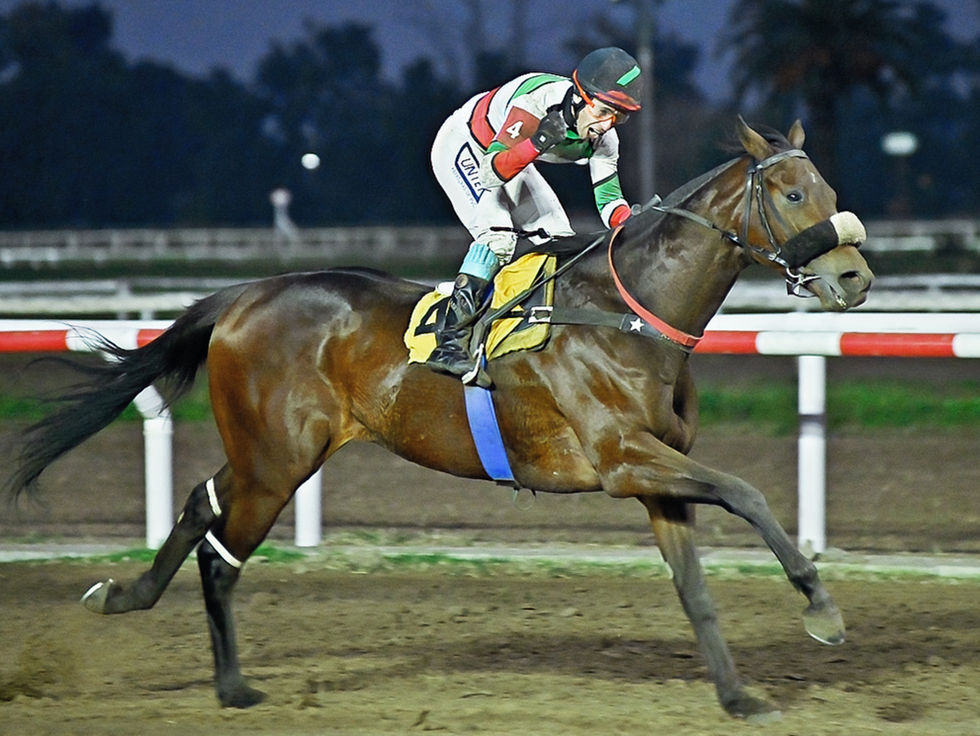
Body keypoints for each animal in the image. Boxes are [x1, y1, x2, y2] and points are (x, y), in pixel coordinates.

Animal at [5, 117, 873, 720]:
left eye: (831, 192)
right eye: (793, 194)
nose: (856, 277)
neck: (628, 314)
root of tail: (244, 295)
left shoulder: (654, 476)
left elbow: (695, 588)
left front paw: (738, 696)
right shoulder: (625, 458)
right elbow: (747, 493)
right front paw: (821, 608)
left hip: (269, 452)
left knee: (198, 505)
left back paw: (126, 599)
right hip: (278, 459)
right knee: (222, 552)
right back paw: (233, 687)